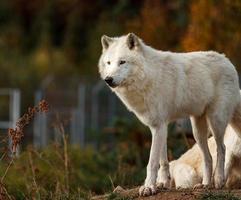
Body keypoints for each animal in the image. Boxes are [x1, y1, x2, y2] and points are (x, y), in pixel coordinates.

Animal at [97, 33, 241, 197]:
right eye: (108, 63)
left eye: (122, 62)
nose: (108, 79)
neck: (148, 76)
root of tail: (227, 60)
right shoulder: (159, 126)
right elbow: (163, 160)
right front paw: (162, 183)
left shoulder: (159, 126)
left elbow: (152, 162)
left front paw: (148, 187)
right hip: (197, 131)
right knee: (208, 157)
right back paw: (205, 184)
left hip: (216, 121)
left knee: (222, 148)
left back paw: (218, 180)